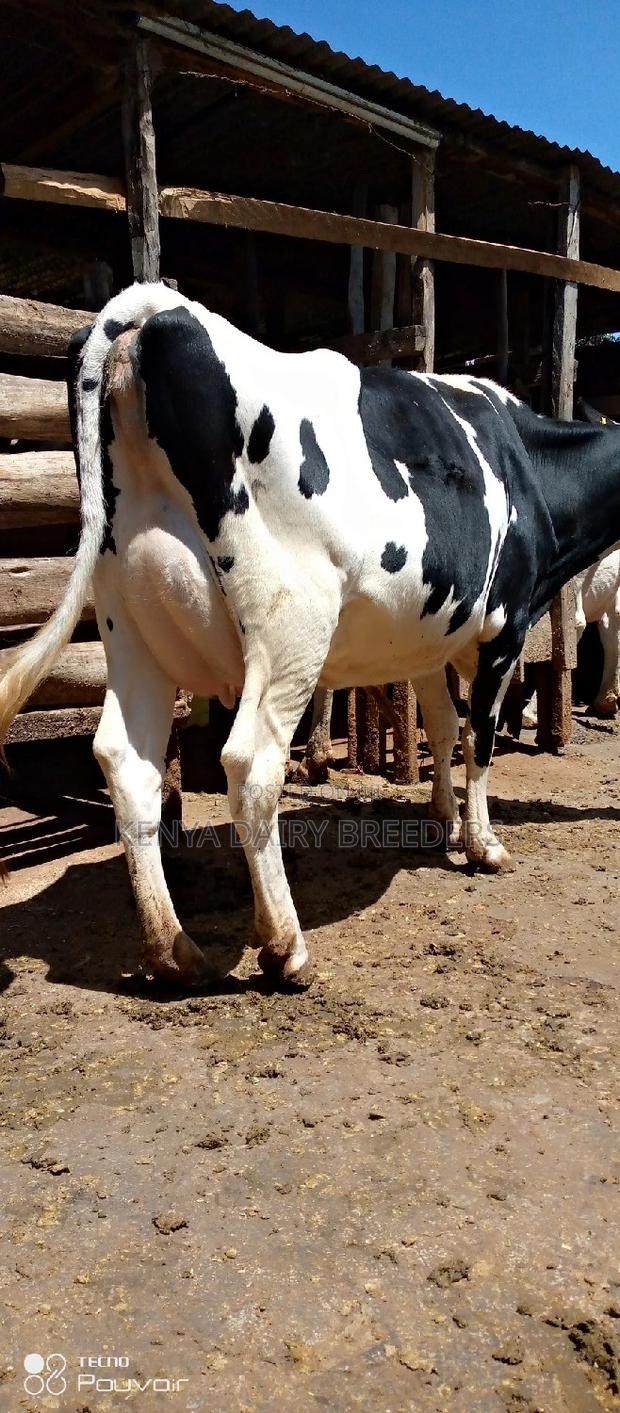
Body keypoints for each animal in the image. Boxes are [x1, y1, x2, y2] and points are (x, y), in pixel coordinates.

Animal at [1, 282, 620, 988]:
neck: (527, 459)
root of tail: (162, 312)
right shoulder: (505, 627)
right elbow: (478, 738)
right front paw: (483, 843)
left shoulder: (429, 636)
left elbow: (439, 724)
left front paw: (443, 819)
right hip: (289, 626)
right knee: (250, 764)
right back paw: (285, 946)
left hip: (128, 625)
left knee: (126, 762)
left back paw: (174, 951)